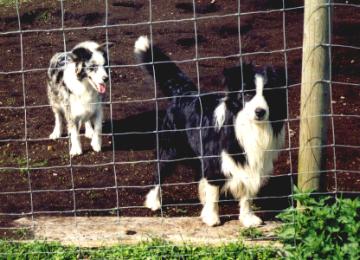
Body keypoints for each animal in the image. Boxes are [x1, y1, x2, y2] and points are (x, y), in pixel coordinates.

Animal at [135, 35, 286, 226]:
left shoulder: (251, 161)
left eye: (269, 95)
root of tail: (185, 93)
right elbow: (214, 191)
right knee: (159, 172)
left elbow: (247, 194)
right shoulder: (215, 160)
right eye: (247, 94)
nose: (260, 112)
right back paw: (154, 201)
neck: (250, 125)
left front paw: (247, 218)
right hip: (171, 146)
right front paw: (212, 217)